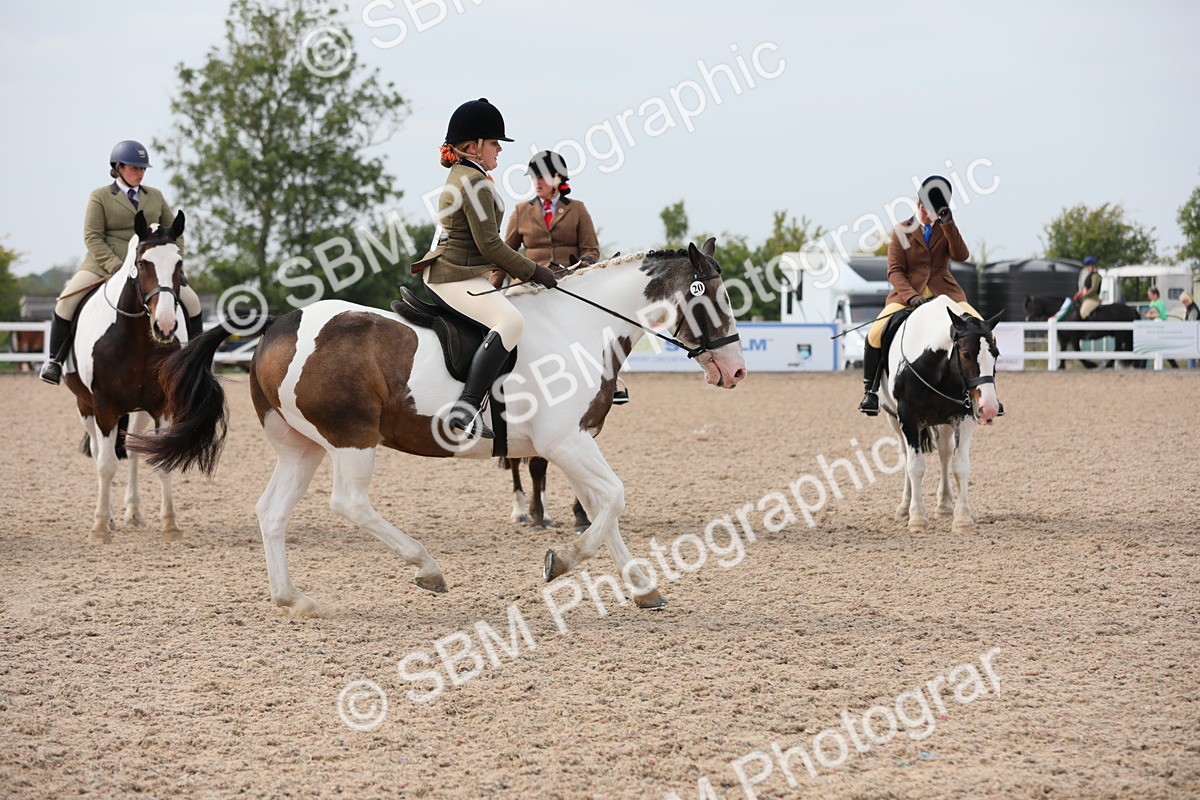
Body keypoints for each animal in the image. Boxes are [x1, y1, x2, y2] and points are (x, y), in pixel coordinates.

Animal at [62, 210, 190, 543]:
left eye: (179, 263)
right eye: (143, 263)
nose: (165, 326)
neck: (138, 339)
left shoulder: (163, 406)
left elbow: (162, 461)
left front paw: (170, 525)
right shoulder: (104, 406)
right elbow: (106, 465)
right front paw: (99, 529)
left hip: (140, 410)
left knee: (132, 451)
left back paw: (132, 513)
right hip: (85, 407)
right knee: (98, 453)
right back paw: (108, 518)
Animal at [129, 240, 747, 614]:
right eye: (713, 298)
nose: (736, 369)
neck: (578, 324)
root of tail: (279, 324)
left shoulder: (575, 444)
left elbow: (604, 508)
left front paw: (643, 589)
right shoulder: (564, 441)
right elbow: (614, 499)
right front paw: (560, 562)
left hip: (301, 447)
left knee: (271, 512)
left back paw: (293, 599)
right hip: (351, 440)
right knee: (349, 503)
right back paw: (427, 568)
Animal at [878, 297, 1002, 533]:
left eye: (996, 354)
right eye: (966, 354)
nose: (989, 408)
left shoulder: (964, 418)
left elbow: (960, 466)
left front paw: (962, 520)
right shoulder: (907, 418)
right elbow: (915, 466)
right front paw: (917, 518)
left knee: (944, 453)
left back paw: (944, 505)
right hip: (893, 419)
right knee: (906, 456)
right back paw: (905, 507)